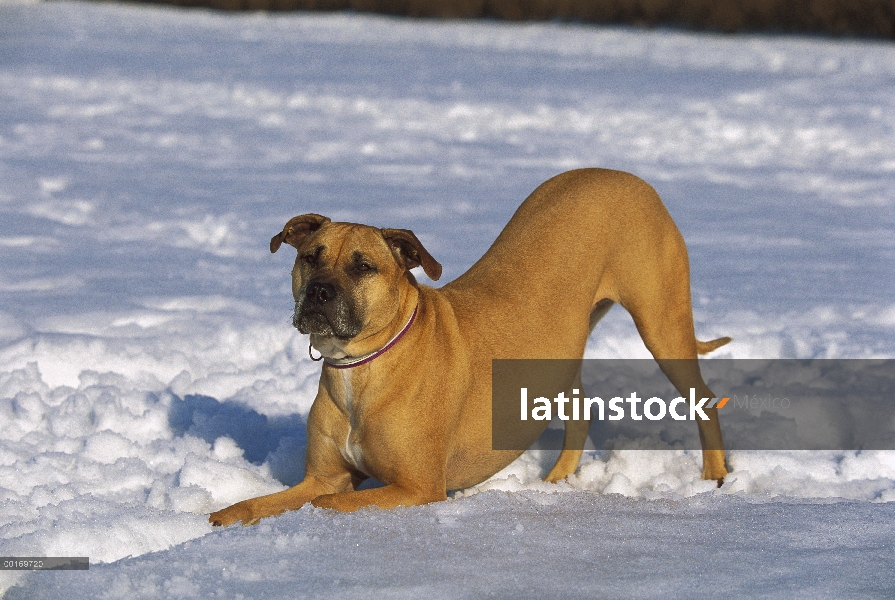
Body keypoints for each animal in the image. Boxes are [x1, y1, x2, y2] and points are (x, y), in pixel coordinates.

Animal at [210, 168, 728, 524]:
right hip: (564, 348)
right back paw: (556, 483)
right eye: (309, 257)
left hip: (661, 320)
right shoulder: (323, 473)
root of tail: (627, 177)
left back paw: (715, 477)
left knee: (703, 398)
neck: (364, 365)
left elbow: (326, 501)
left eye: (362, 267)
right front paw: (220, 518)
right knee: (579, 412)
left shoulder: (417, 487)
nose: (319, 292)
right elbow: (269, 501)